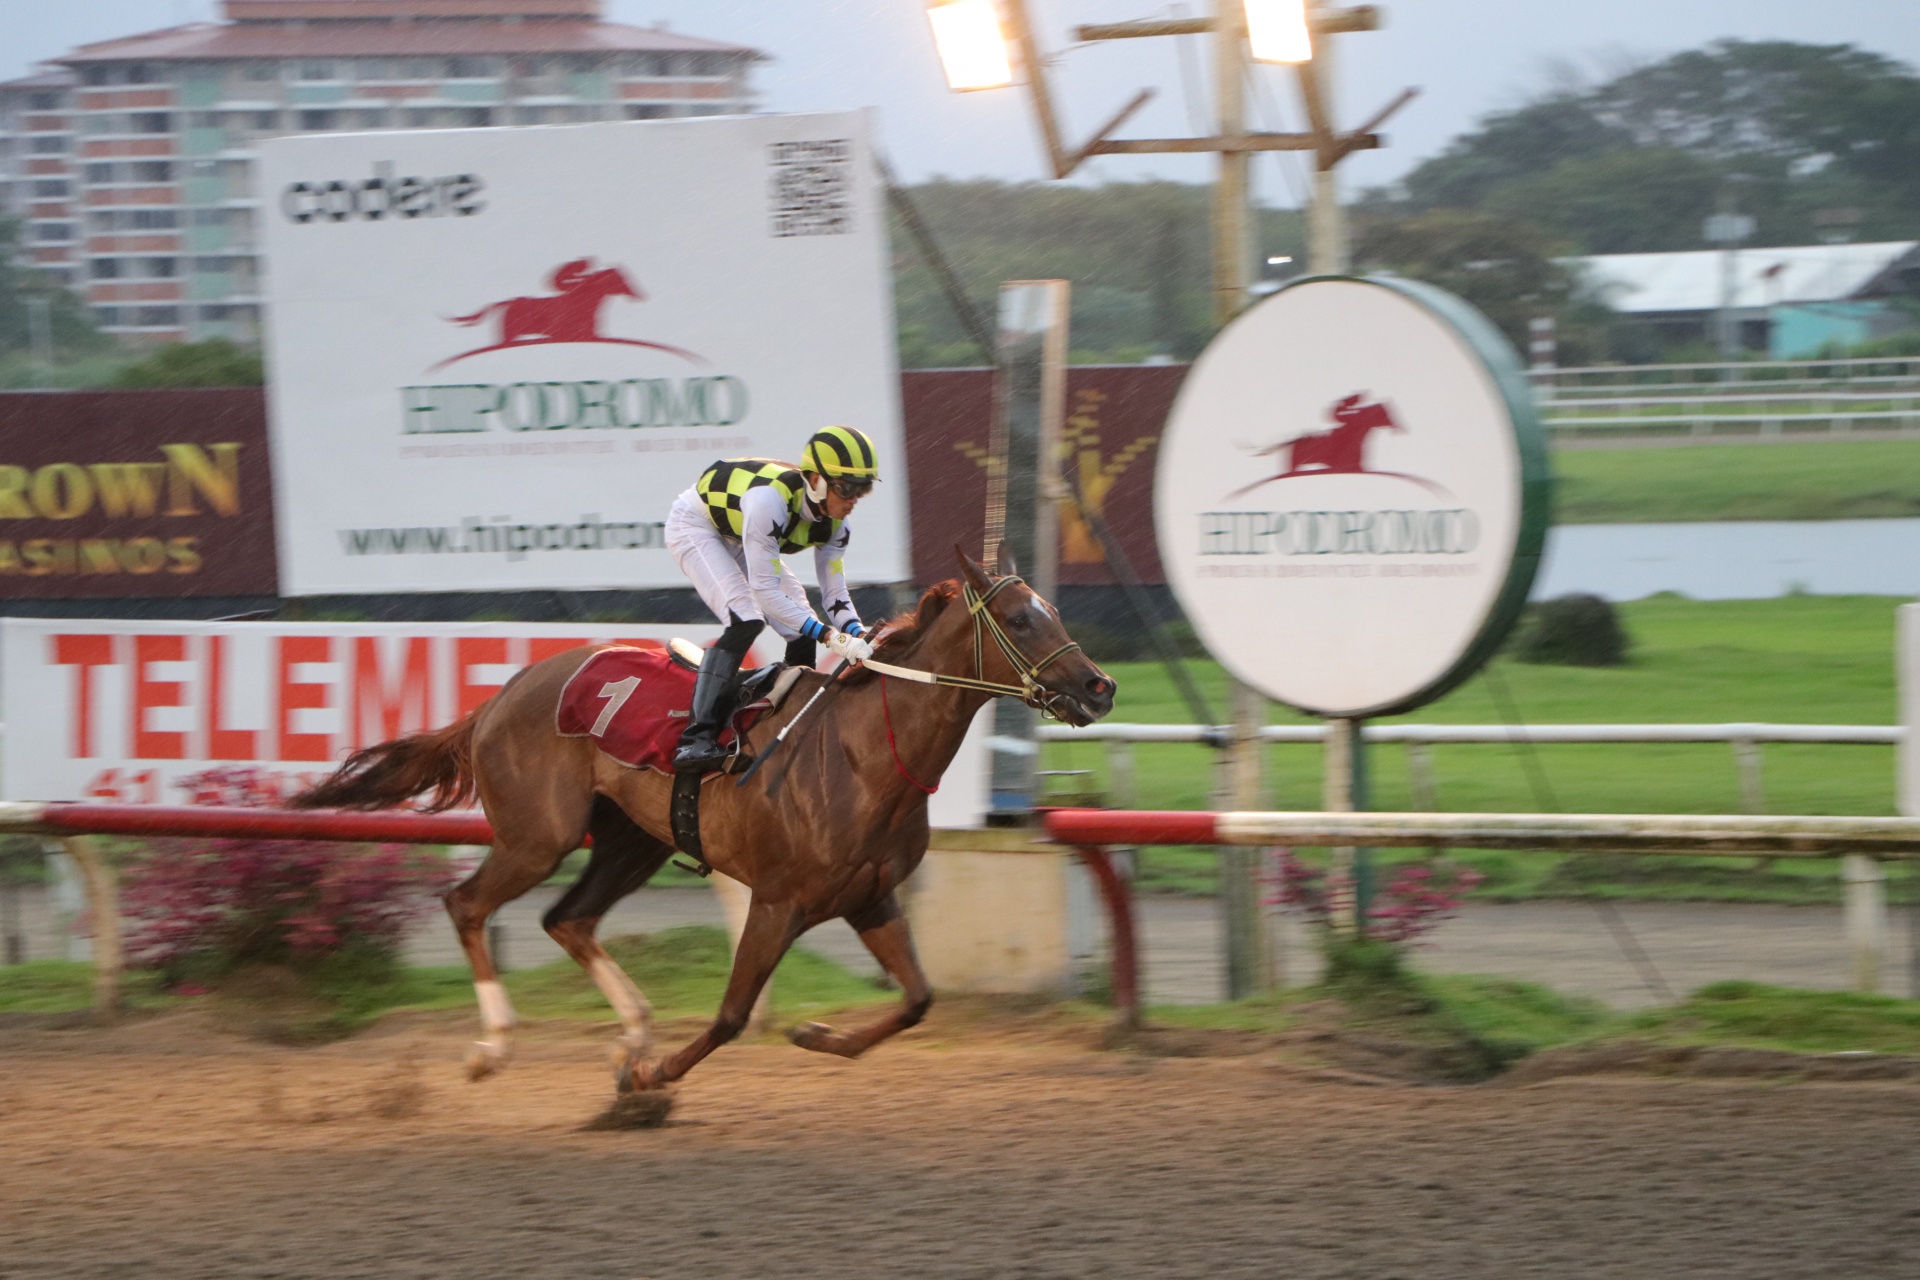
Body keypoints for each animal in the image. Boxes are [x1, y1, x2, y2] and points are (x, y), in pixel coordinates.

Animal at [291, 552, 1121, 1090]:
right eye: (1019, 618)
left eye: (1053, 611)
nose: (1100, 686)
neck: (865, 753)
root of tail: (501, 695)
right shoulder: (779, 899)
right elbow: (729, 1013)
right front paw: (653, 1078)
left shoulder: (869, 897)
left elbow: (918, 1000)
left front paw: (815, 1033)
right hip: (538, 836)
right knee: (467, 904)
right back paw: (495, 1046)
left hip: (630, 841)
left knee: (568, 919)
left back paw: (632, 1029)